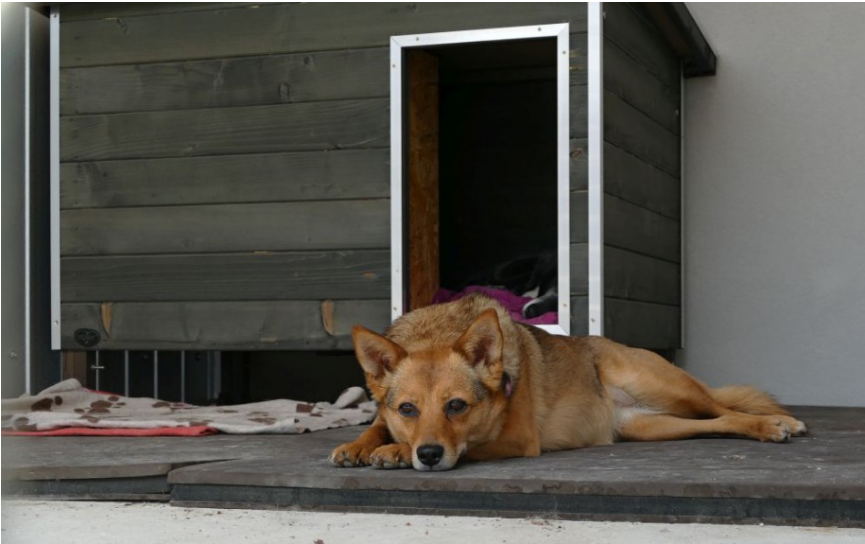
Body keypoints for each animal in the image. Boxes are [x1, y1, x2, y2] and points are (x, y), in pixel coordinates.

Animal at [328, 294, 808, 472]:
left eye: (457, 406)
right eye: (407, 408)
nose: (427, 455)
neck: (437, 331)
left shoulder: (518, 439)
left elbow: (468, 444)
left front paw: (393, 451)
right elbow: (376, 424)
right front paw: (360, 444)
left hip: (663, 386)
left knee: (723, 406)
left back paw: (778, 423)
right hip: (650, 425)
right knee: (715, 423)